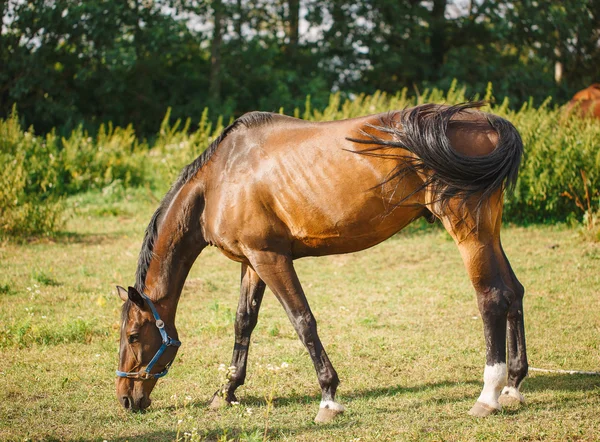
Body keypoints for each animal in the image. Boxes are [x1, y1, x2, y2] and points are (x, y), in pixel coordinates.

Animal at [115, 102, 528, 424]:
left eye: (133, 336)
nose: (125, 398)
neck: (219, 180)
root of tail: (489, 122)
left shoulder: (270, 258)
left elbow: (302, 321)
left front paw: (328, 398)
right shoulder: (251, 262)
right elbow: (243, 322)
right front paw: (227, 390)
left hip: (469, 232)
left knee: (492, 297)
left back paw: (488, 395)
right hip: (489, 233)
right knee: (514, 292)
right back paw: (513, 386)